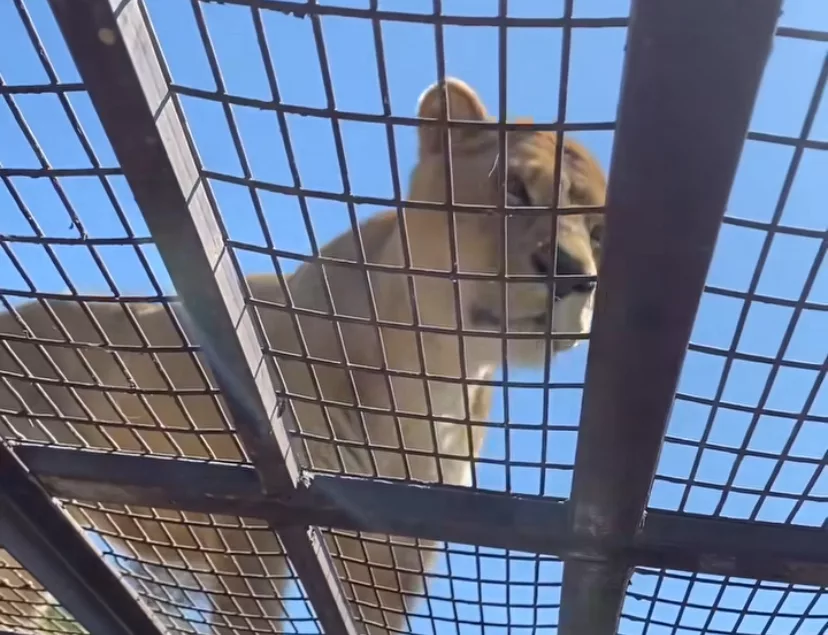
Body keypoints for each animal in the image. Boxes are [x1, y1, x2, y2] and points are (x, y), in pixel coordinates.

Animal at [0, 78, 607, 634]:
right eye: (515, 188)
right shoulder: (260, 532)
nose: (574, 275)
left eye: (601, 234)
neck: (432, 374)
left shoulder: (397, 554)